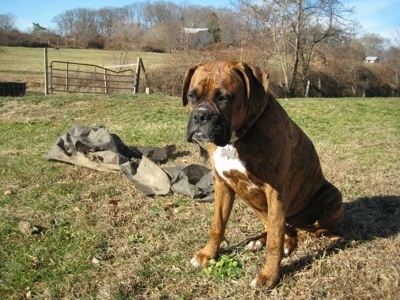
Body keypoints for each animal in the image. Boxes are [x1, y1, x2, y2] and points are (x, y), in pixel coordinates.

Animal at [184, 61, 344, 288]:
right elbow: (217, 225)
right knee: (279, 228)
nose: (200, 116)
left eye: (224, 97)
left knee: (302, 233)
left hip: (332, 196)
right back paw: (259, 240)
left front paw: (269, 276)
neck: (236, 139)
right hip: (254, 203)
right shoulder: (223, 185)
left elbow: (275, 242)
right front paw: (208, 254)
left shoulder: (275, 193)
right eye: (191, 96)